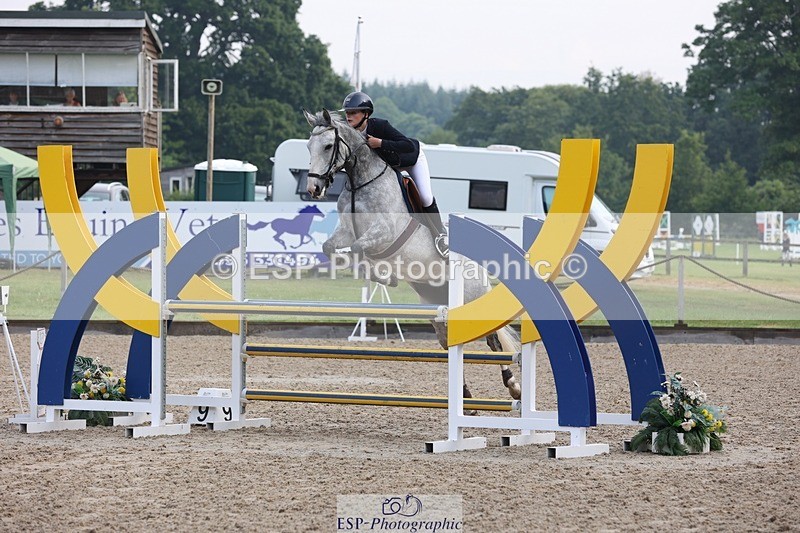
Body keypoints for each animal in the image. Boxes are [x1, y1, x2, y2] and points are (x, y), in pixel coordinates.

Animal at [302, 108, 521, 402]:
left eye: (328, 146)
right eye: (308, 146)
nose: (314, 189)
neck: (361, 181)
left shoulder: (384, 231)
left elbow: (360, 249)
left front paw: (383, 275)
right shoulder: (346, 232)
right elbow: (332, 248)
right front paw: (380, 275)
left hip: (473, 299)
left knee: (493, 339)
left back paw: (513, 385)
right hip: (438, 311)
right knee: (453, 343)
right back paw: (467, 397)